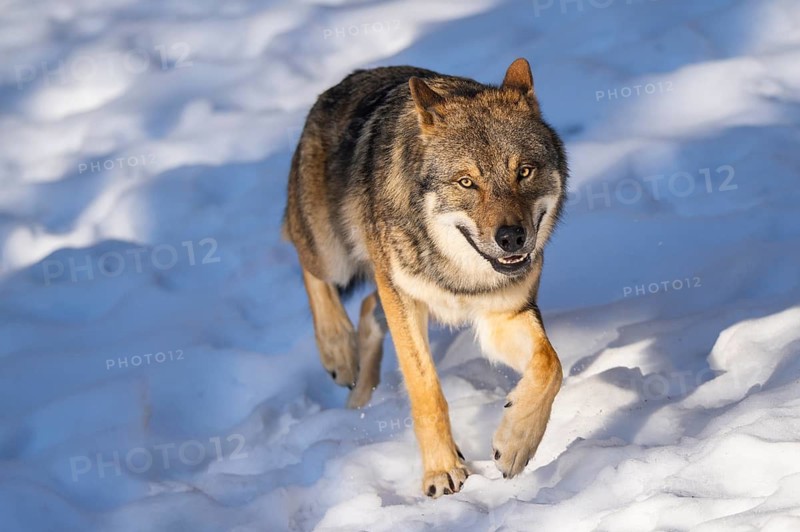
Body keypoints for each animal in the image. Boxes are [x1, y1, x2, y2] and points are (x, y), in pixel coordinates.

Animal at [282, 58, 567, 497]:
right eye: (467, 182)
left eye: (524, 172)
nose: (511, 237)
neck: (460, 273)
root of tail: (340, 84)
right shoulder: (404, 301)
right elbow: (427, 392)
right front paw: (441, 470)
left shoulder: (502, 316)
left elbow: (550, 365)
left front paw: (516, 442)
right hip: (333, 254)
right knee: (307, 263)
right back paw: (339, 353)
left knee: (368, 306)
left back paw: (358, 395)